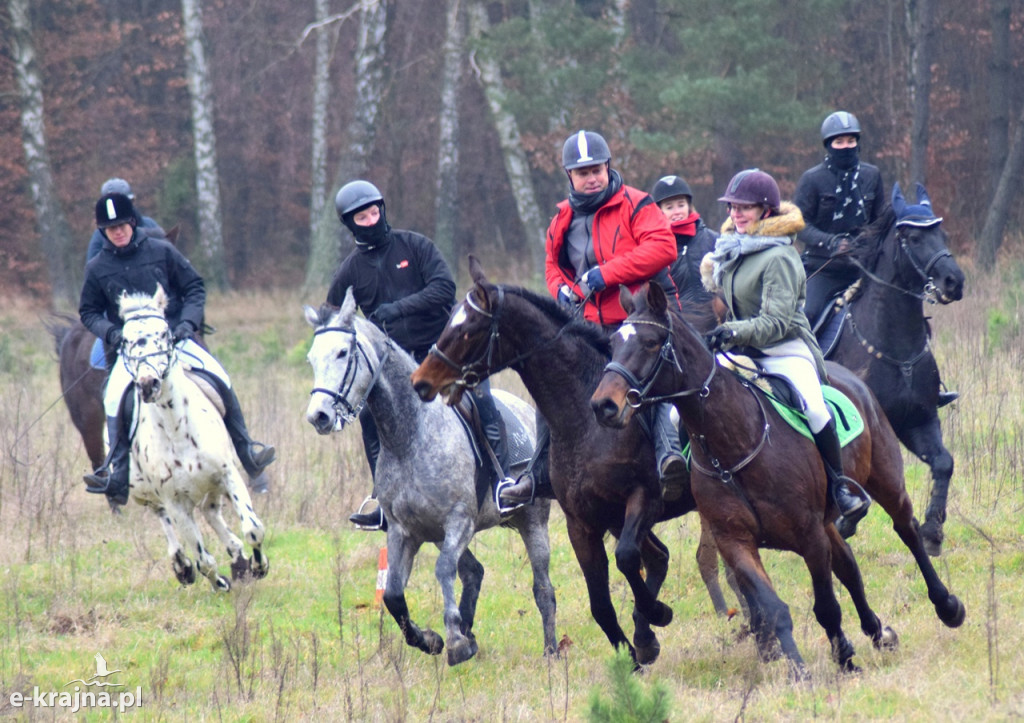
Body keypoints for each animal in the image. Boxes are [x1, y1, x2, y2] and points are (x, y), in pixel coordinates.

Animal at [116, 284, 268, 589]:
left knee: (212, 513)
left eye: (164, 333)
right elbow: (203, 559)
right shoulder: (174, 502)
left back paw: (238, 557)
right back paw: (182, 565)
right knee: (165, 518)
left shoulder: (228, 475)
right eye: (125, 340)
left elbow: (253, 528)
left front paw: (259, 566)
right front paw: (219, 583)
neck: (176, 429)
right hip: (147, 493)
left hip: (212, 486)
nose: (148, 384)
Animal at [303, 288, 561, 663]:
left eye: (342, 352)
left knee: (543, 588)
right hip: (439, 533)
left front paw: (454, 640)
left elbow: (442, 570)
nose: (318, 416)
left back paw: (550, 650)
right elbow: (393, 595)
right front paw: (433, 639)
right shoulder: (403, 531)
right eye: (311, 359)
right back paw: (469, 631)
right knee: (473, 572)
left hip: (532, 521)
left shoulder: (459, 521)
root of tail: (527, 410)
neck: (409, 435)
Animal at [411, 256, 700, 667]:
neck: (585, 418)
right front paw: (632, 651)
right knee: (658, 557)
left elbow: (627, 558)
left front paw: (656, 614)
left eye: (468, 329)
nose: (421, 380)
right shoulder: (581, 523)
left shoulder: (643, 499)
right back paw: (645, 636)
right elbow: (601, 604)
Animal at [589, 282, 962, 675]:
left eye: (650, 341)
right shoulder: (737, 541)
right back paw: (878, 633)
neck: (733, 446)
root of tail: (847, 376)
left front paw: (844, 658)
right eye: (612, 343)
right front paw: (801, 669)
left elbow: (826, 606)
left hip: (886, 479)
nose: (603, 405)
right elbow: (774, 608)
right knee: (848, 565)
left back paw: (946, 604)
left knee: (907, 530)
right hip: (828, 518)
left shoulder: (809, 534)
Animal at [827, 184, 962, 553]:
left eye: (943, 233)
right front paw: (846, 521)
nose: (954, 281)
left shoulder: (919, 419)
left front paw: (932, 530)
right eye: (913, 237)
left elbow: (943, 462)